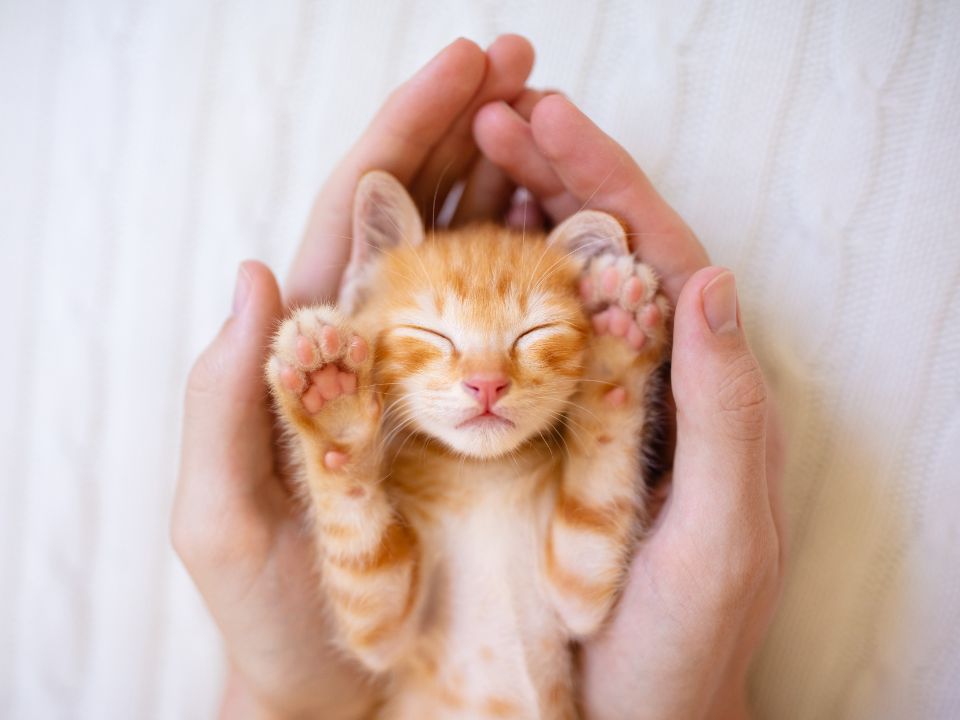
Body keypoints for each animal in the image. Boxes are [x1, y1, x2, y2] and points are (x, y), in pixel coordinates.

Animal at [262, 172, 668, 716]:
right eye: (431, 333)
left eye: (534, 332)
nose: (487, 383)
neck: (480, 478)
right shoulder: (382, 630)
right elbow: (362, 554)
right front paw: (330, 399)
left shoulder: (576, 585)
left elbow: (596, 502)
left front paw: (617, 344)